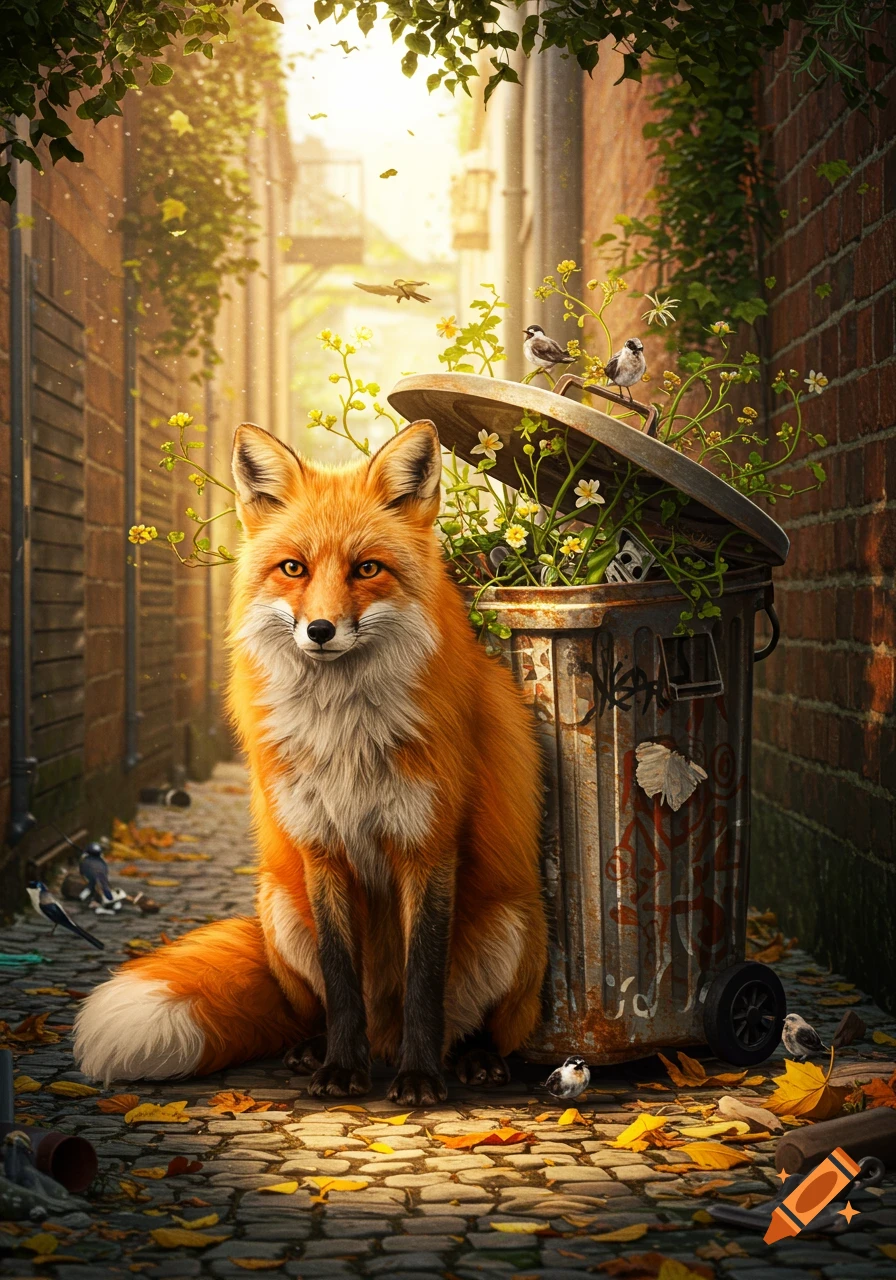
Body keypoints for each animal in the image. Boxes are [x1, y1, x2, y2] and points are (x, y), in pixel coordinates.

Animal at [74, 419, 548, 1103]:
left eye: (367, 568)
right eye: (293, 568)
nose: (320, 630)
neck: (344, 734)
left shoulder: (428, 846)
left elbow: (424, 982)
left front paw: (419, 1078)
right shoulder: (320, 846)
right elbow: (340, 976)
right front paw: (341, 1070)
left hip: (509, 925)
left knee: (473, 1021)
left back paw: (472, 1058)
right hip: (280, 906)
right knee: (319, 1006)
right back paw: (313, 1049)